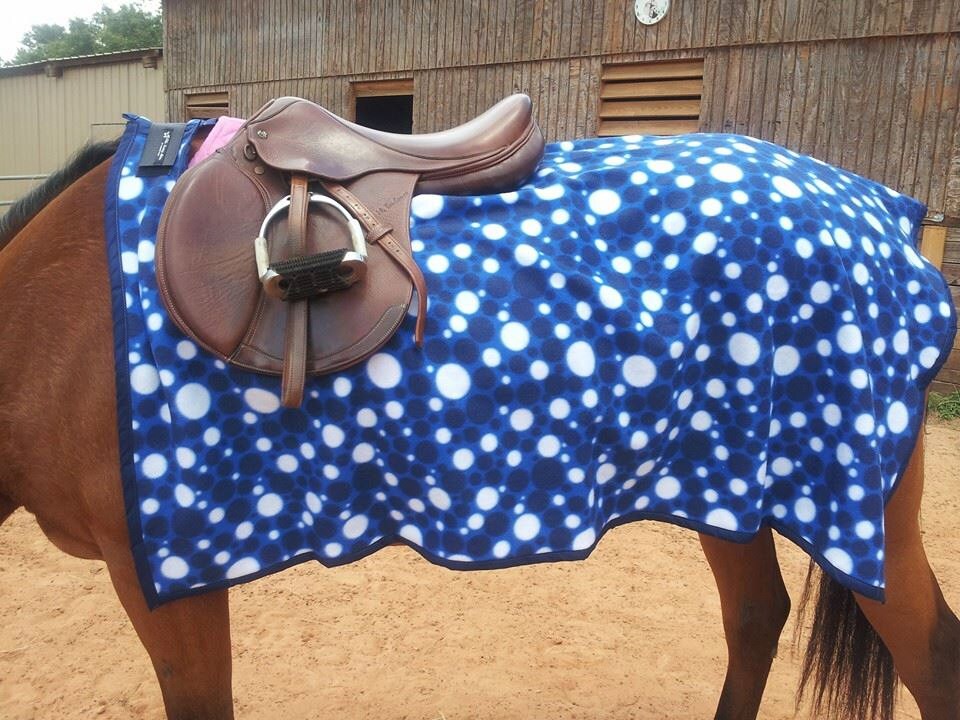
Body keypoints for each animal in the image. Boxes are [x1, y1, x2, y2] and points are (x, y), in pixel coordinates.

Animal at [0, 129, 958, 720]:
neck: (54, 322)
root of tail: (885, 212)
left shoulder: (162, 575)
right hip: (726, 483)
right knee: (757, 617)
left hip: (860, 511)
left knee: (931, 659)